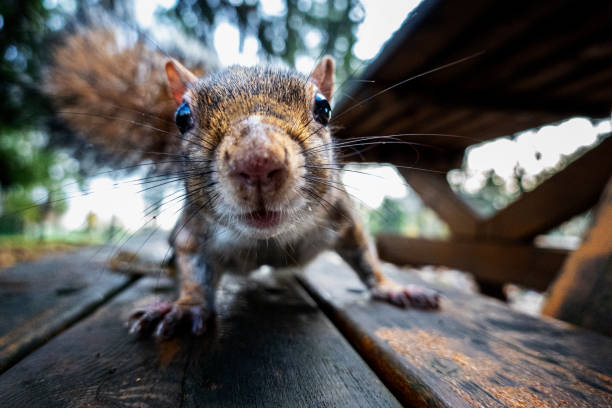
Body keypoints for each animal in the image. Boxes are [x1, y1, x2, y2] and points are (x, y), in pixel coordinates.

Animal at [45, 23, 438, 340]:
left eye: (324, 108)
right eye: (182, 116)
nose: (258, 163)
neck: (268, 240)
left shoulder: (340, 214)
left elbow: (365, 256)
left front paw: (393, 288)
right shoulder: (194, 231)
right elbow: (192, 267)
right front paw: (185, 307)